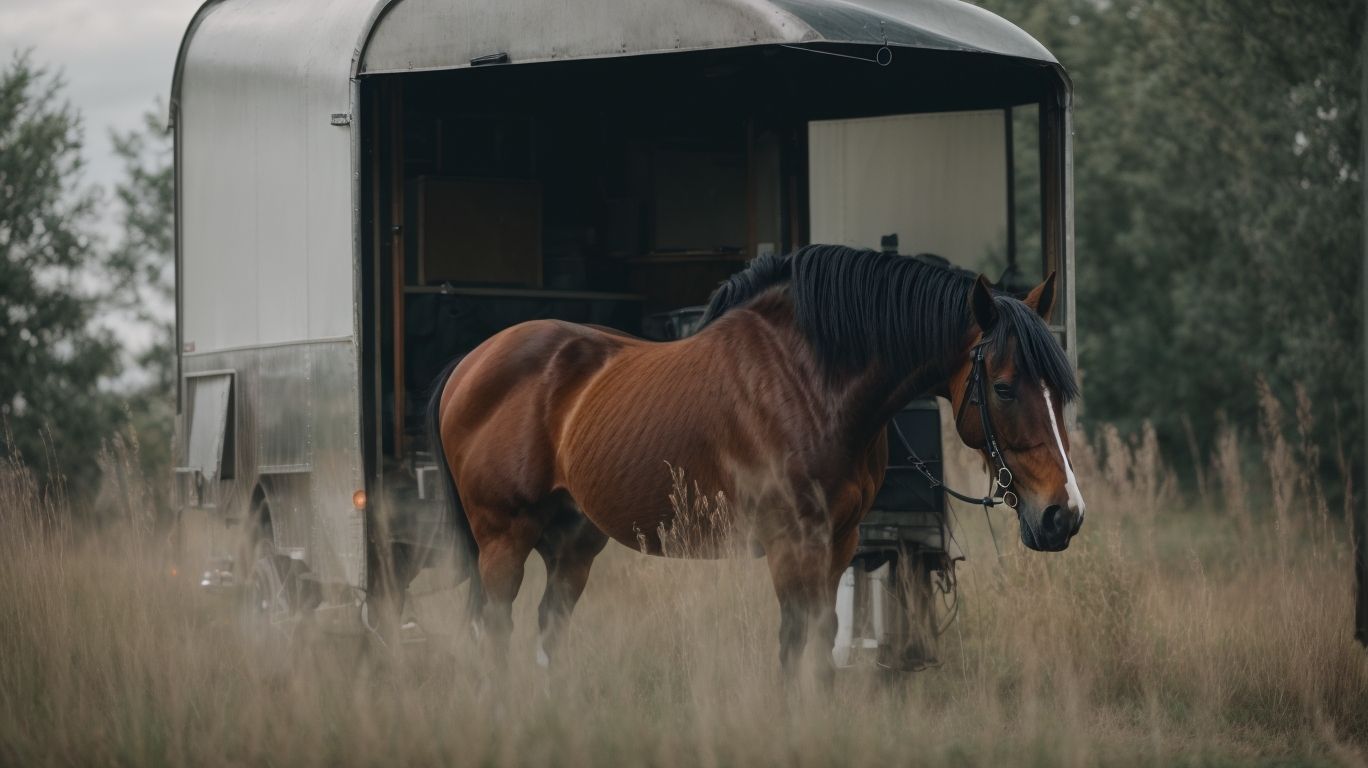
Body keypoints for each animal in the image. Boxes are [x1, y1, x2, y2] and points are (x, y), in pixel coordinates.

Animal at [425, 244, 1085, 680]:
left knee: (548, 625)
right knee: (497, 627)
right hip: (503, 538)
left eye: (1059, 388)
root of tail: (468, 365)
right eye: (1004, 387)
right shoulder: (792, 541)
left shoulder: (839, 542)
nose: (1064, 515)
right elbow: (793, 642)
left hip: (573, 541)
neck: (812, 378)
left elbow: (821, 641)